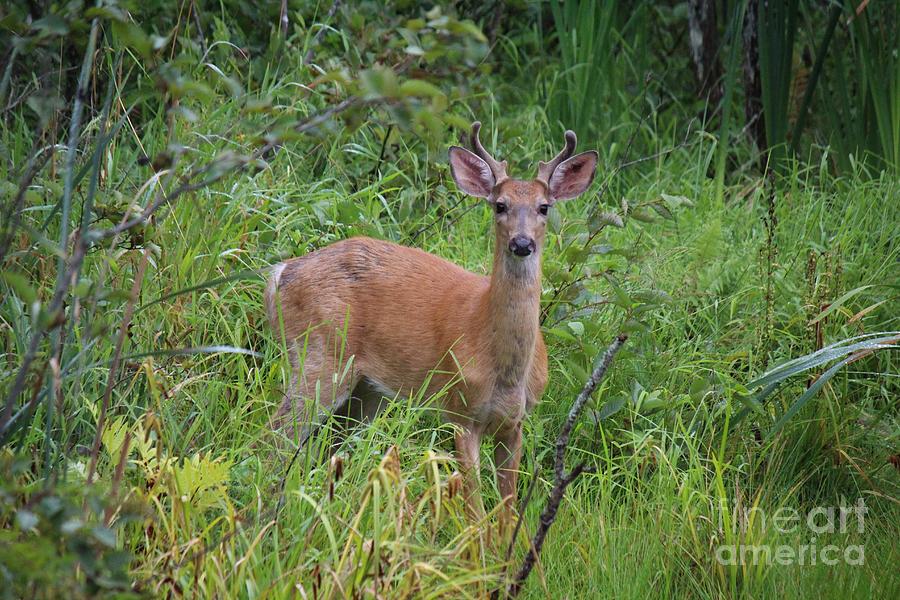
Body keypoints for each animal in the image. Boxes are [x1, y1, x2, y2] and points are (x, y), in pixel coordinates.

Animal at [268, 120, 600, 520]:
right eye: (499, 205)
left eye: (544, 207)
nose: (522, 244)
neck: (503, 367)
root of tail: (282, 272)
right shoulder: (460, 410)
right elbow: (474, 509)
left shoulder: (516, 423)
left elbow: (507, 511)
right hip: (318, 355)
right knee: (276, 435)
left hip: (367, 389)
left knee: (330, 444)